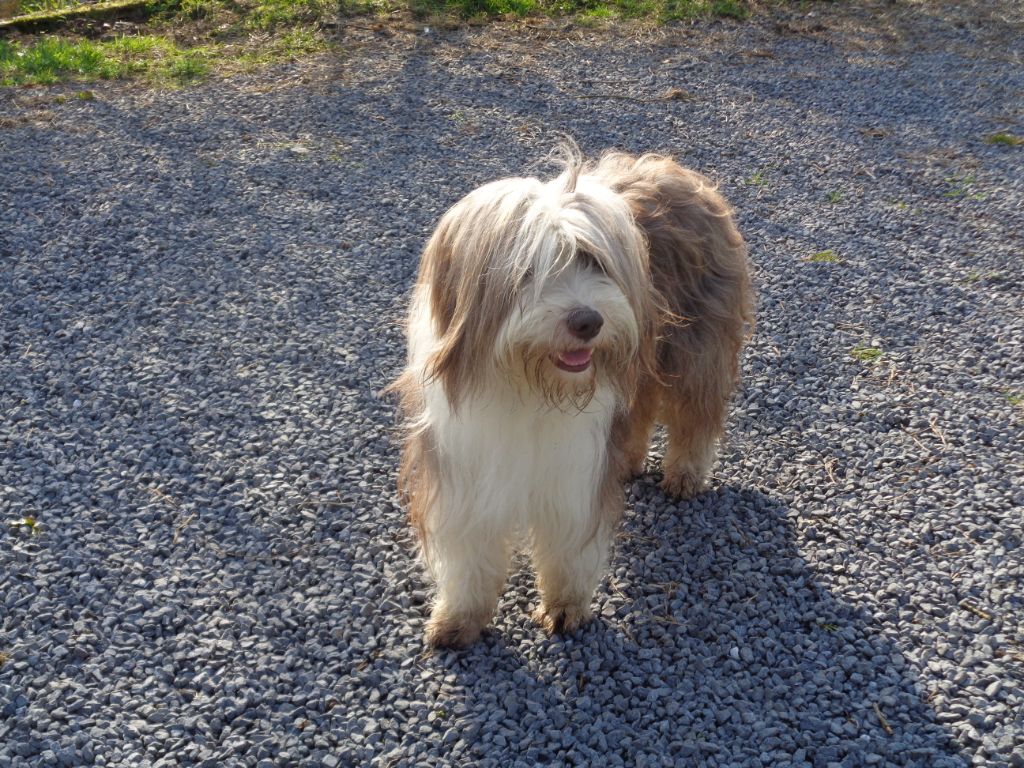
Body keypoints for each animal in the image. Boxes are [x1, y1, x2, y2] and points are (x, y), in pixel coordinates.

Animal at [390, 146, 753, 648]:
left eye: (594, 262)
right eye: (528, 271)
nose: (588, 322)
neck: (528, 385)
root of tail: (676, 170)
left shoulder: (575, 467)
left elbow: (569, 540)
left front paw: (565, 606)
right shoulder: (464, 467)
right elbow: (470, 552)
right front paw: (460, 618)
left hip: (695, 348)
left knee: (694, 417)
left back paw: (683, 474)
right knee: (641, 410)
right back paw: (631, 460)